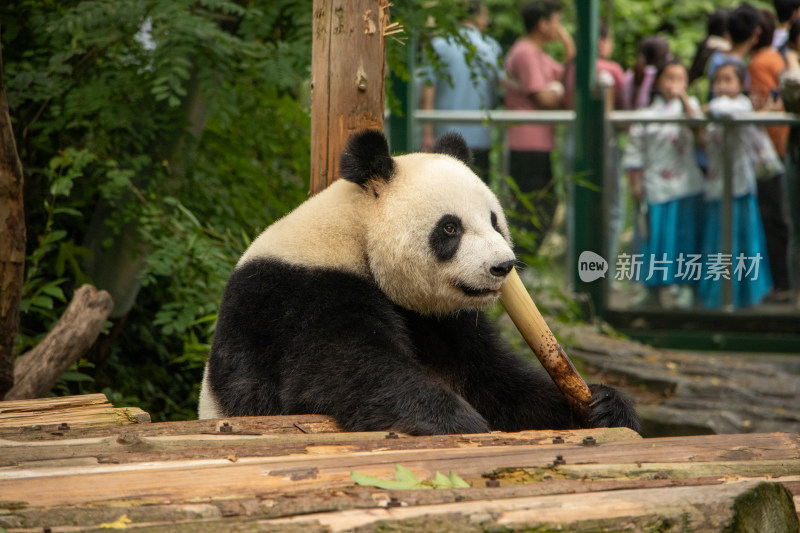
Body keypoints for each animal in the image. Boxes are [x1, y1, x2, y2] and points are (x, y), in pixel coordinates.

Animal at [198, 128, 636, 432]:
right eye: (449, 228)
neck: (355, 233)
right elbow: (342, 367)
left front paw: (604, 405)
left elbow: (495, 382)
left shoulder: (443, 323)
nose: (502, 266)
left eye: (494, 220)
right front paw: (455, 419)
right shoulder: (300, 294)